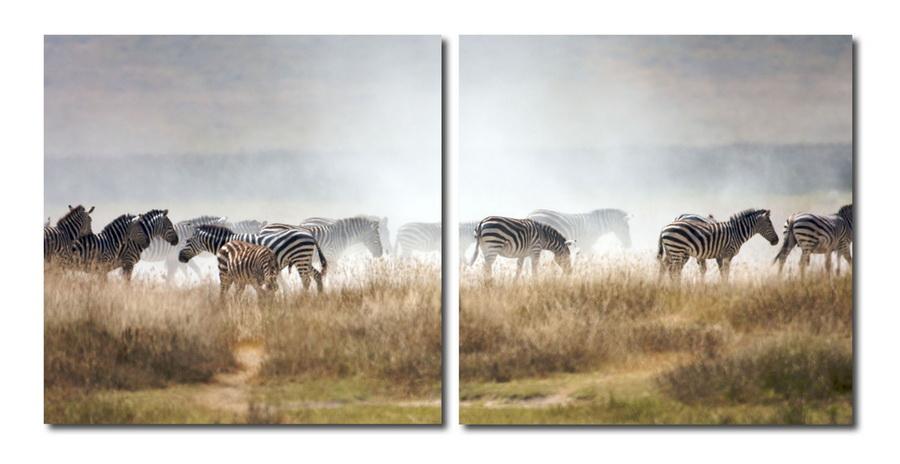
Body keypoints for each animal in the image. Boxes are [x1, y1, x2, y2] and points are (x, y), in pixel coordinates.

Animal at [179, 224, 328, 292]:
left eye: (187, 241)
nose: (180, 257)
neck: (227, 242)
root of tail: (309, 234)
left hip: (300, 258)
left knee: (306, 280)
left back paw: (303, 299)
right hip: (305, 259)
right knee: (317, 275)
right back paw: (318, 298)